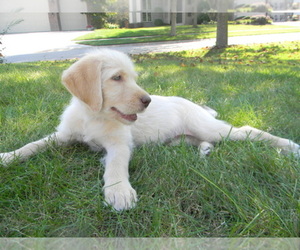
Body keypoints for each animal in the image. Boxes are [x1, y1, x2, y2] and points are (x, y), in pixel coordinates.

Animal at [0, 49, 300, 211]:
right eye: (117, 78)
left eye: (133, 78)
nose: (148, 101)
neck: (93, 116)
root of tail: (197, 106)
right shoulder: (62, 136)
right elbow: (33, 145)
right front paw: (8, 156)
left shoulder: (120, 144)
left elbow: (116, 166)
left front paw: (118, 192)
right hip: (178, 140)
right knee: (199, 142)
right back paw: (204, 151)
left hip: (210, 127)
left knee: (247, 130)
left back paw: (288, 146)